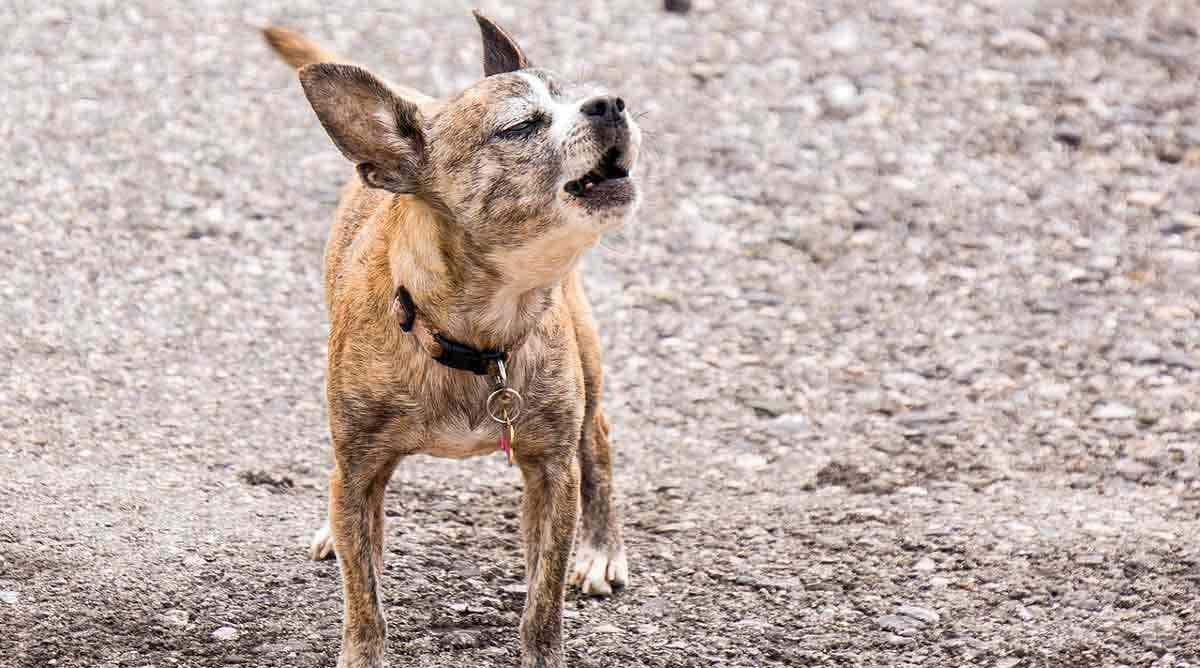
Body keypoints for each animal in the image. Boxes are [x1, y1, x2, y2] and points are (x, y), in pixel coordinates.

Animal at [260, 11, 638, 666]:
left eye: (577, 92)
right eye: (520, 126)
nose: (609, 101)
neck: (477, 333)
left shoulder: (551, 473)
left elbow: (543, 598)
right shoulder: (359, 473)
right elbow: (364, 596)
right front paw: (363, 648)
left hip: (587, 363)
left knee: (599, 439)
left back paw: (600, 546)